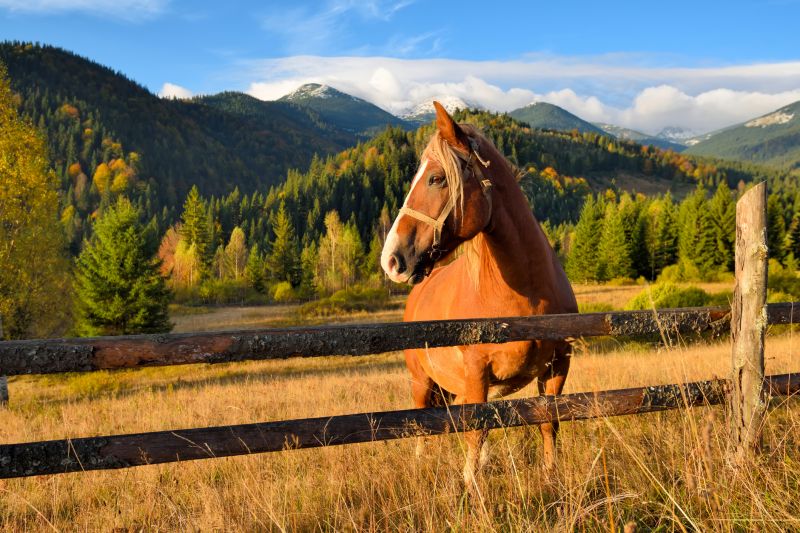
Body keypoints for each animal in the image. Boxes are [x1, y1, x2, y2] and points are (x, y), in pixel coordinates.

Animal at [380, 102, 578, 486]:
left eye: (436, 178)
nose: (391, 259)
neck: (527, 295)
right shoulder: (476, 372)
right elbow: (475, 433)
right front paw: (471, 488)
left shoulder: (558, 364)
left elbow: (548, 423)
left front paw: (551, 478)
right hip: (422, 381)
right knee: (424, 425)